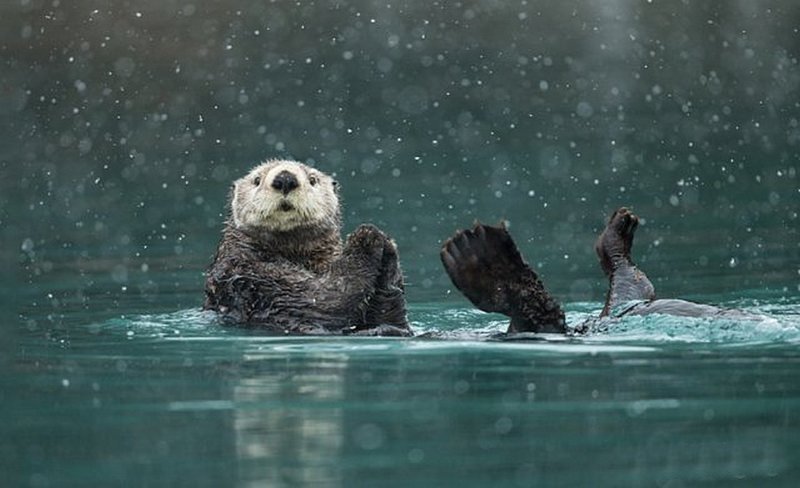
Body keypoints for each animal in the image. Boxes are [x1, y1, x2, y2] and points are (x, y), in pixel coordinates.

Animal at [205, 160, 412, 336]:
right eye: (256, 180)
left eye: (313, 180)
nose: (285, 178)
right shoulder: (249, 273)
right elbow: (323, 297)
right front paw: (366, 236)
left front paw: (388, 249)